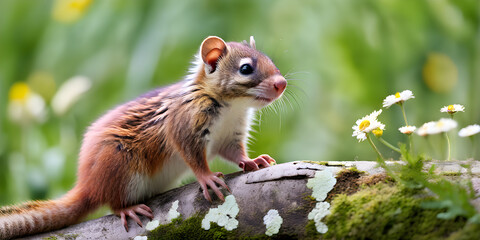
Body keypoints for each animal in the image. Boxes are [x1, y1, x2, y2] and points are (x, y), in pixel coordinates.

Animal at [0, 35, 284, 238]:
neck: (231, 107)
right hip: (120, 165)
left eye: (270, 59)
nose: (282, 83)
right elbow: (193, 158)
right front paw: (206, 178)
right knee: (113, 203)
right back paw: (128, 207)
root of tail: (87, 186)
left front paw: (252, 161)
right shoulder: (184, 128)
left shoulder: (230, 136)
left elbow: (235, 153)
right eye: (246, 68)